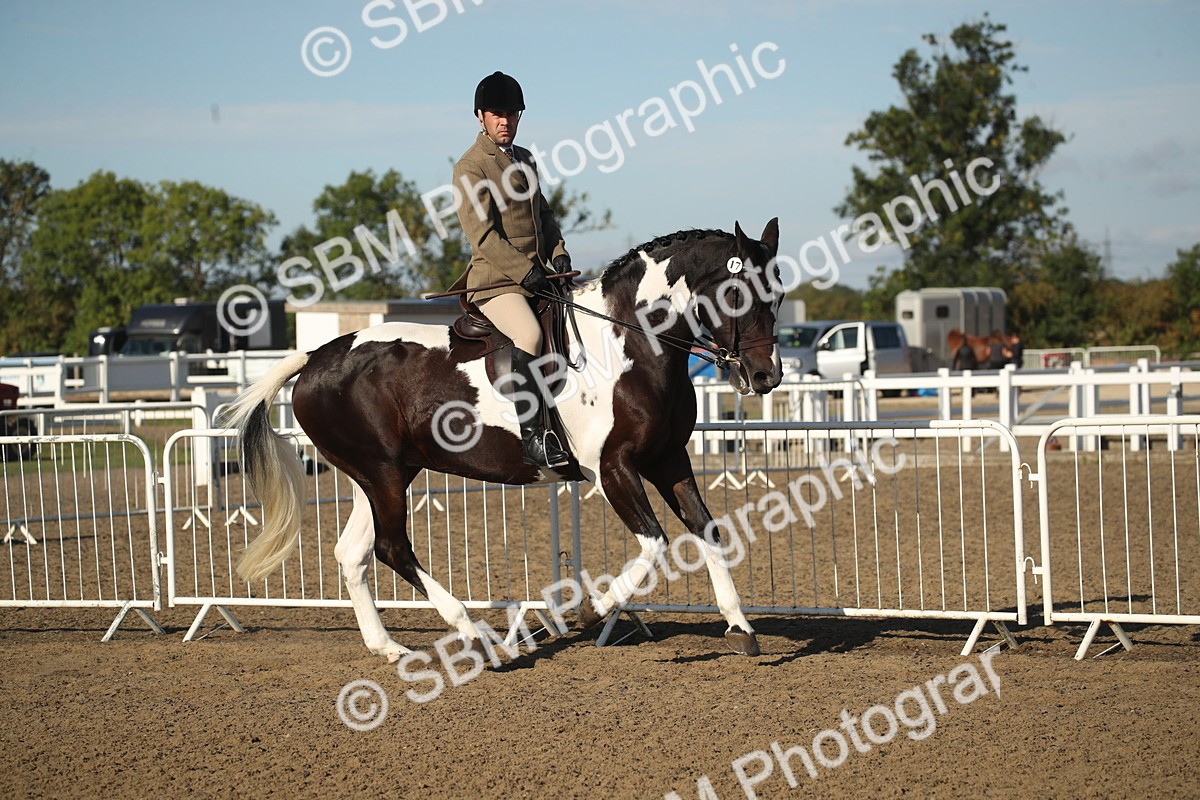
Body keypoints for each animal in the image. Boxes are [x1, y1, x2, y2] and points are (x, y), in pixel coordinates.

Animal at [221, 219, 783, 662]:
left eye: (776, 293)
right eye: (738, 292)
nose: (766, 376)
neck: (629, 342)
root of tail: (316, 356)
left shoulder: (668, 459)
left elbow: (707, 531)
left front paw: (740, 626)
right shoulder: (613, 468)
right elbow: (655, 542)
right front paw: (593, 607)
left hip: (382, 474)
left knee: (352, 553)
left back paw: (388, 647)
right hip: (381, 473)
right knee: (392, 548)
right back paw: (478, 636)